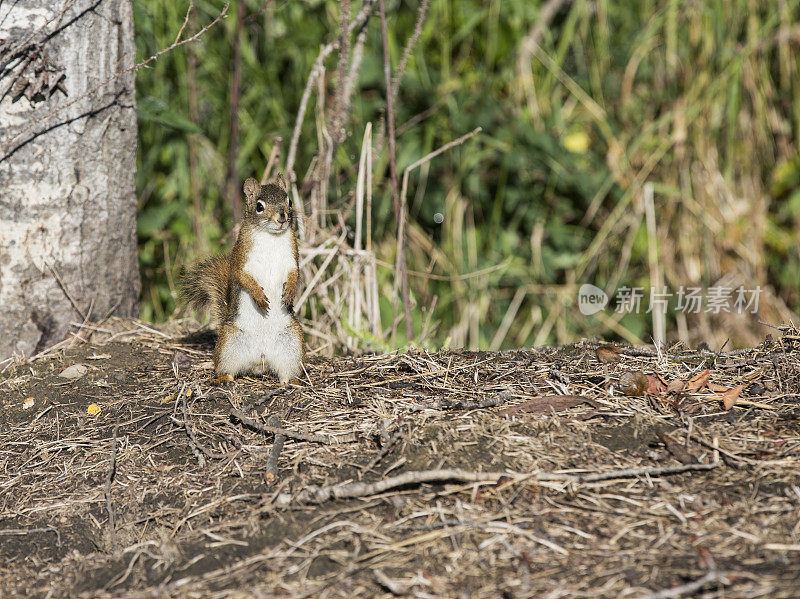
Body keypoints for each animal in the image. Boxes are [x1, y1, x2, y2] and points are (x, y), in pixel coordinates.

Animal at [183, 173, 304, 384]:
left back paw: (292, 381)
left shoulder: (292, 255)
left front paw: (290, 292)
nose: (282, 217)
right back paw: (222, 378)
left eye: (289, 201)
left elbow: (295, 273)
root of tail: (260, 361)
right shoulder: (241, 257)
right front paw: (259, 297)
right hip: (229, 343)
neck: (271, 237)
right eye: (259, 206)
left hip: (292, 343)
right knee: (226, 368)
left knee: (288, 371)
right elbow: (242, 276)